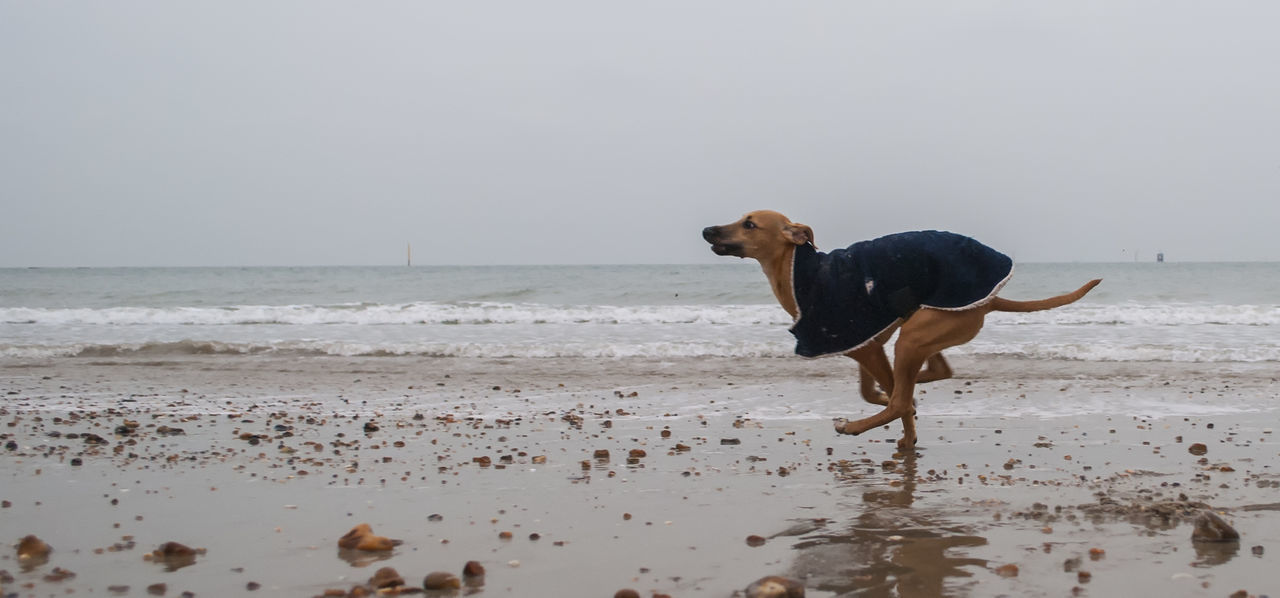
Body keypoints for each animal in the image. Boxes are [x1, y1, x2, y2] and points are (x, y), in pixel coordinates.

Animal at [701, 211, 1100, 450]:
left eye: (750, 224)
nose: (706, 229)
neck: (802, 270)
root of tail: (989, 301)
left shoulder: (864, 344)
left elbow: (895, 402)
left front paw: (902, 424)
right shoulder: (869, 341)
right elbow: (872, 391)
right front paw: (902, 421)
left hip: (914, 335)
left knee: (902, 397)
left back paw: (858, 425)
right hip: (918, 326)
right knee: (934, 372)